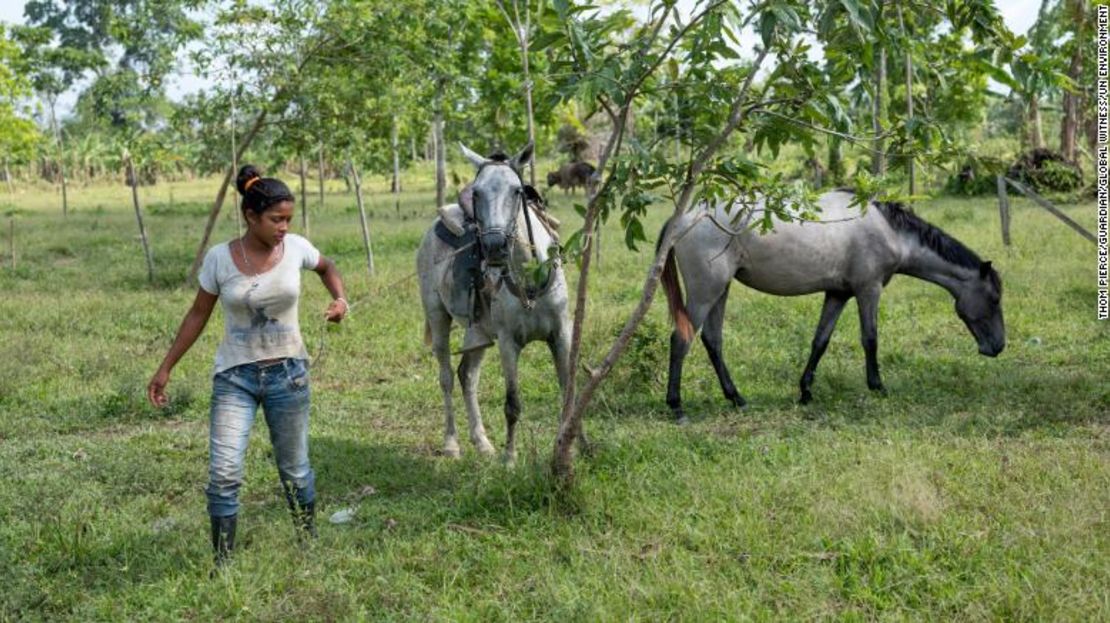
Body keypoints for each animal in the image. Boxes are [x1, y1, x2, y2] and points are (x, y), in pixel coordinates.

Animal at [417, 142, 572, 461]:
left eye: (517, 191)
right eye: (476, 192)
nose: (494, 247)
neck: (529, 278)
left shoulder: (562, 333)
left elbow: (568, 392)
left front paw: (575, 447)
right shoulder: (508, 341)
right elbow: (512, 404)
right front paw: (510, 457)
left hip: (478, 331)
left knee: (467, 375)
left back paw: (482, 441)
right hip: (438, 317)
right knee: (447, 377)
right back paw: (452, 443)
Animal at [657, 185, 1007, 417]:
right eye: (994, 298)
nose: (998, 347)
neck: (888, 230)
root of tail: (685, 218)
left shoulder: (838, 294)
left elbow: (820, 341)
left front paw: (805, 391)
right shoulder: (868, 290)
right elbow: (870, 339)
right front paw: (878, 386)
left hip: (720, 290)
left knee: (713, 341)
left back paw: (736, 398)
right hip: (706, 291)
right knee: (681, 339)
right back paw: (676, 405)